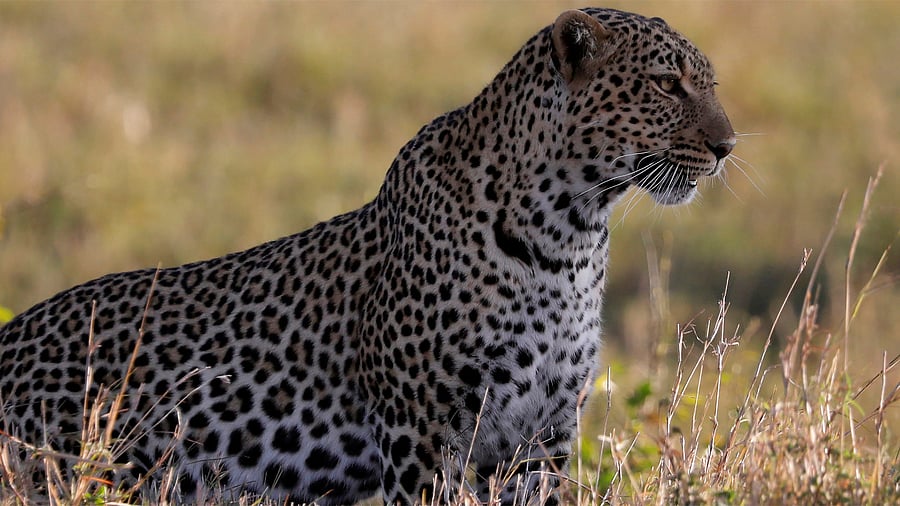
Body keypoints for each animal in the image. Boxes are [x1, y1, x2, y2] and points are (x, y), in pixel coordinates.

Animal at [0, 7, 734, 505]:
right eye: (667, 85)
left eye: (709, 85)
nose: (728, 145)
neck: (568, 234)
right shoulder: (424, 430)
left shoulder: (542, 435)